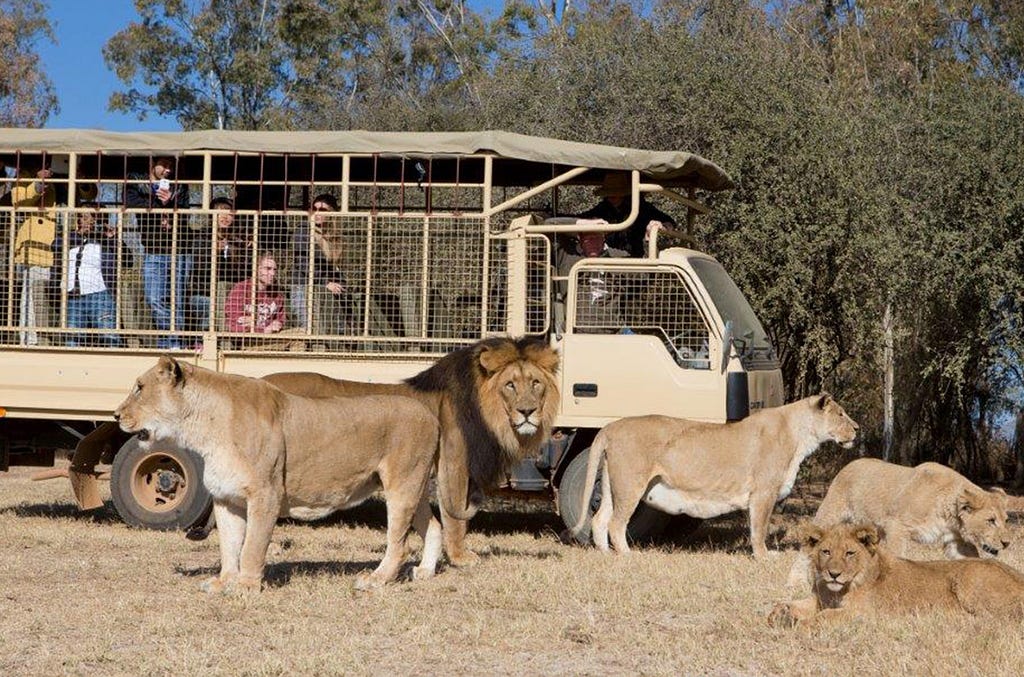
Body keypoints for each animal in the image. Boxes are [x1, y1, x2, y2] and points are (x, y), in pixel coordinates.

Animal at [114, 354, 442, 589]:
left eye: (139, 388)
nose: (116, 415)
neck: (203, 430)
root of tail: (431, 415)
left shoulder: (265, 494)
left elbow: (251, 546)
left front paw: (245, 586)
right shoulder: (226, 498)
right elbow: (229, 545)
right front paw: (224, 582)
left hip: (402, 486)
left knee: (399, 543)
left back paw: (375, 580)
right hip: (414, 489)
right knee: (434, 525)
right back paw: (425, 572)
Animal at [260, 335, 557, 565]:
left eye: (535, 383)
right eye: (510, 384)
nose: (528, 411)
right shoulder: (453, 464)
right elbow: (455, 516)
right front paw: (460, 558)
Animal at [573, 393, 860, 557]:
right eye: (840, 414)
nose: (857, 429)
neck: (800, 436)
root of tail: (610, 426)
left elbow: (755, 528)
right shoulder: (764, 493)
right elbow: (760, 529)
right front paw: (764, 557)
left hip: (612, 485)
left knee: (599, 519)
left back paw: (605, 554)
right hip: (631, 484)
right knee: (616, 523)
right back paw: (627, 555)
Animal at [770, 520, 1024, 626]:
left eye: (850, 553)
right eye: (826, 551)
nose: (833, 574)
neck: (837, 591)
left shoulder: (863, 614)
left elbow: (822, 618)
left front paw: (797, 625)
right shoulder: (819, 599)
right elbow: (788, 603)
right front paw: (780, 614)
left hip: (970, 578)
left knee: (998, 618)